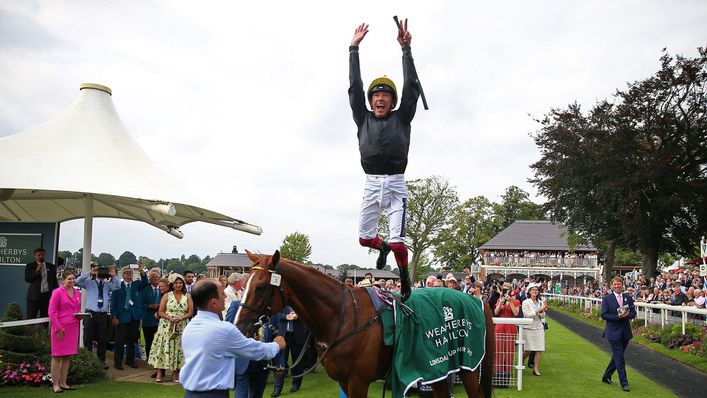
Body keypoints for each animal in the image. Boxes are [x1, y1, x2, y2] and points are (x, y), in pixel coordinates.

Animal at [235, 252, 496, 398]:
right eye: (245, 284)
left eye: (260, 287)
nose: (239, 326)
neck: (344, 317)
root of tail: (476, 300)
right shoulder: (344, 381)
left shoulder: (358, 382)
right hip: (438, 368)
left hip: (468, 367)